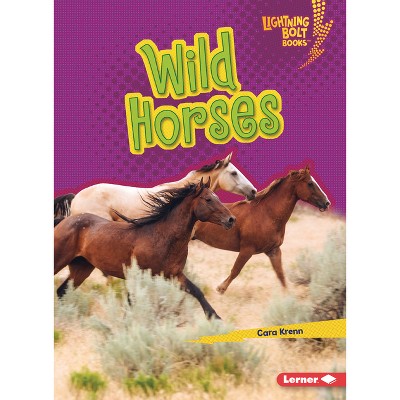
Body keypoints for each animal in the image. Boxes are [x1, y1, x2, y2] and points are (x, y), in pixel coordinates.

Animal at [54, 179, 236, 320]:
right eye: (208, 199)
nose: (231, 219)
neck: (162, 237)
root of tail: (65, 220)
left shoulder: (175, 275)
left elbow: (197, 291)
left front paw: (215, 318)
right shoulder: (139, 275)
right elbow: (131, 301)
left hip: (82, 268)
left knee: (62, 291)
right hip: (60, 261)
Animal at [192, 166, 331, 294]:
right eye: (310, 183)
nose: (327, 203)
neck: (267, 214)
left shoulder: (274, 250)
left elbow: (280, 274)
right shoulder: (247, 250)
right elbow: (235, 270)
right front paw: (220, 289)